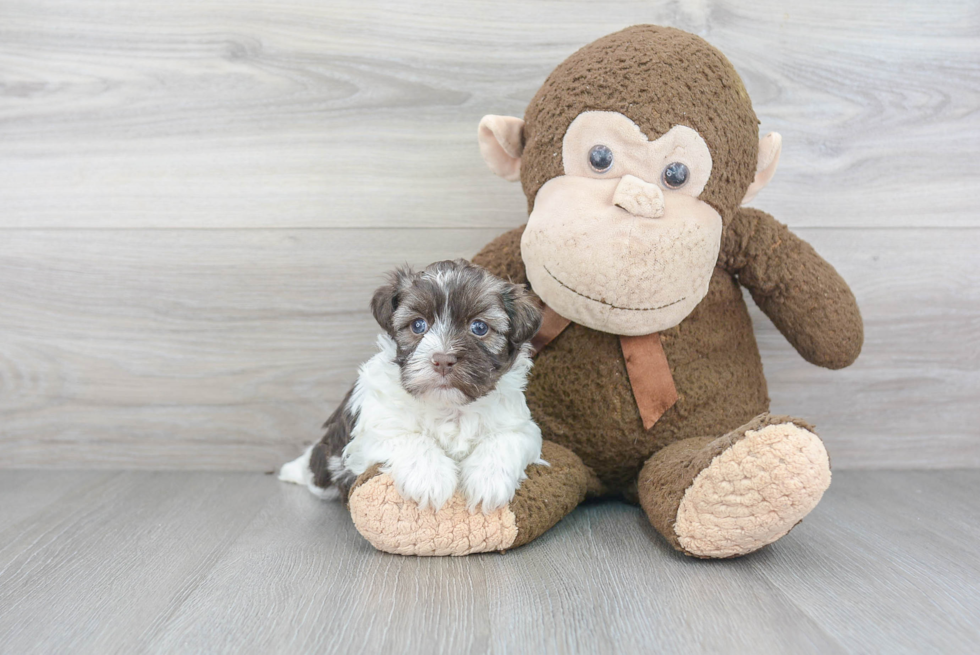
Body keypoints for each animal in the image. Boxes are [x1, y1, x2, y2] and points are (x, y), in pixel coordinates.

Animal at [280, 258, 548, 516]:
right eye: (418, 325)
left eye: (479, 327)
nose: (443, 360)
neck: (448, 407)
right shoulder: (373, 428)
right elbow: (409, 437)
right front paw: (430, 478)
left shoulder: (521, 427)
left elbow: (505, 439)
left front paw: (488, 480)